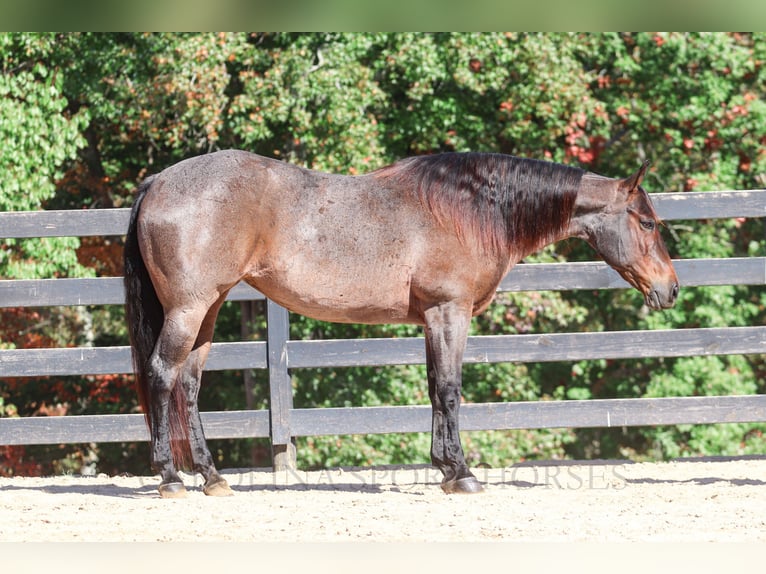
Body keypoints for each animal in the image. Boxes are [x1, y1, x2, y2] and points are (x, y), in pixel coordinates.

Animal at [121, 150, 680, 500]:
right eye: (647, 222)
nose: (671, 288)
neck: (470, 210)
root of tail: (158, 183)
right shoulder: (449, 311)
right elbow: (451, 389)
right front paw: (463, 474)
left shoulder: (432, 318)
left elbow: (435, 389)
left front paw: (445, 468)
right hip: (189, 309)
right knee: (161, 376)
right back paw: (170, 478)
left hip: (209, 308)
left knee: (188, 386)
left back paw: (213, 477)